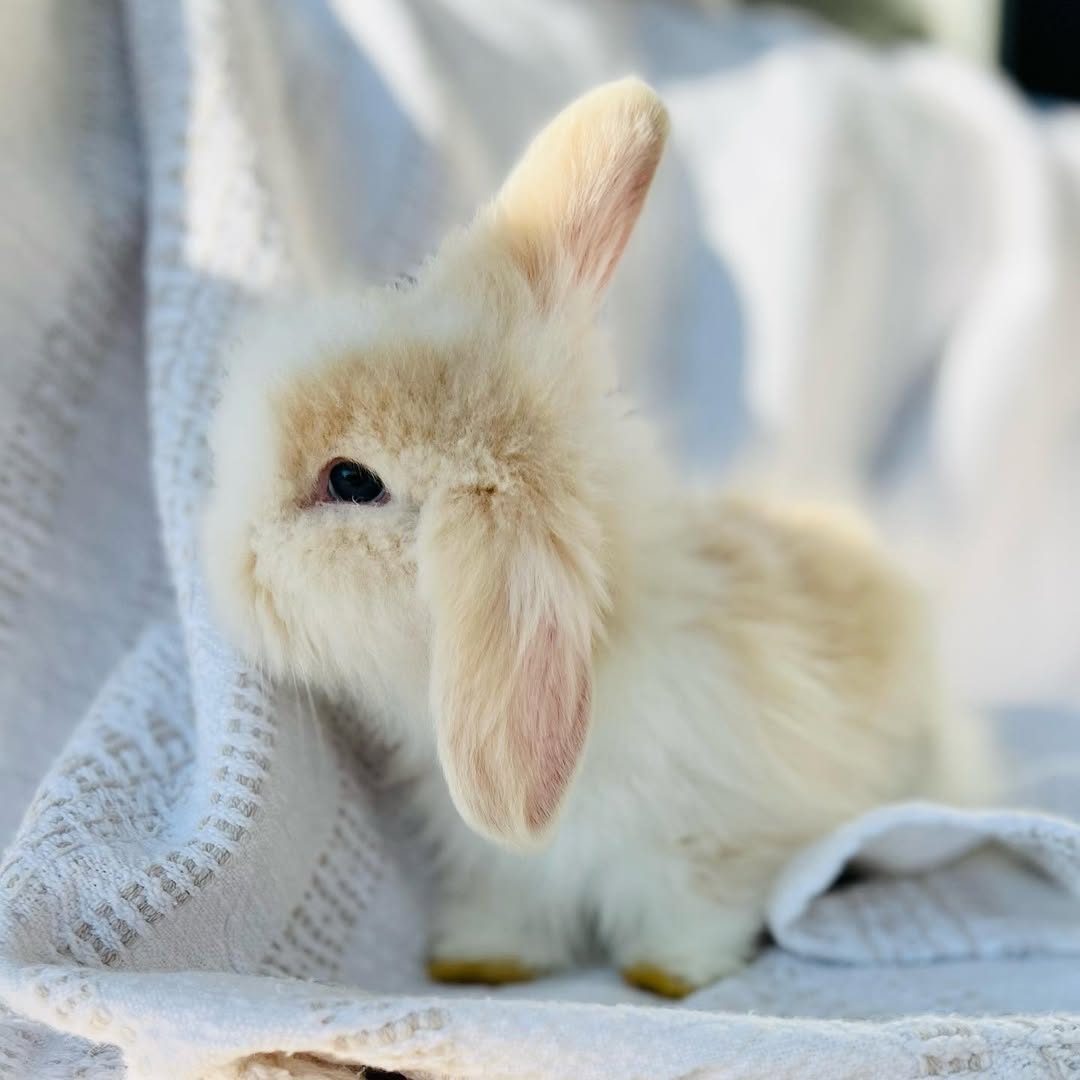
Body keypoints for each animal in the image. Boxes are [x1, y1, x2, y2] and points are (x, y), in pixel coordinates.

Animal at [202, 78, 994, 998]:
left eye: (351, 481)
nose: (217, 557)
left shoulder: (709, 850)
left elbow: (698, 912)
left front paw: (666, 975)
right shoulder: (503, 869)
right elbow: (509, 913)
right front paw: (475, 962)